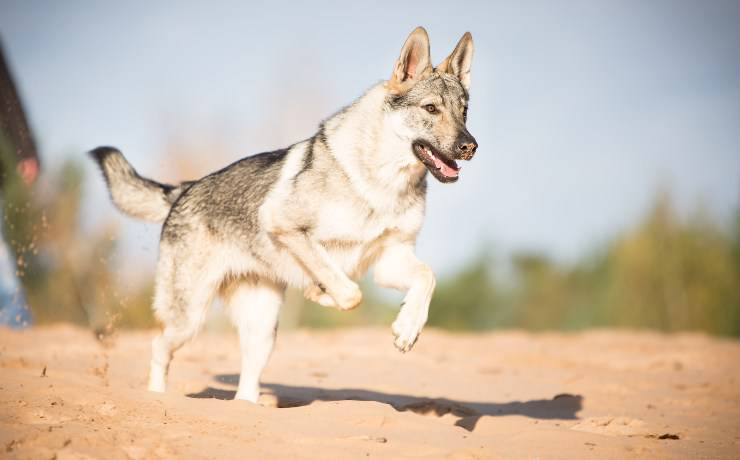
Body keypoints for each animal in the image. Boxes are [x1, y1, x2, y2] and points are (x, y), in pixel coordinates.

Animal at [89, 27, 476, 402]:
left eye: (464, 112)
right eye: (431, 109)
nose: (470, 146)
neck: (382, 183)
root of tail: (184, 188)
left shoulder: (390, 259)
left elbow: (426, 278)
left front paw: (408, 328)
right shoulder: (288, 227)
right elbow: (349, 292)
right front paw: (321, 293)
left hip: (261, 333)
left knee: (244, 388)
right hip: (189, 317)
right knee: (158, 346)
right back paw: (155, 396)